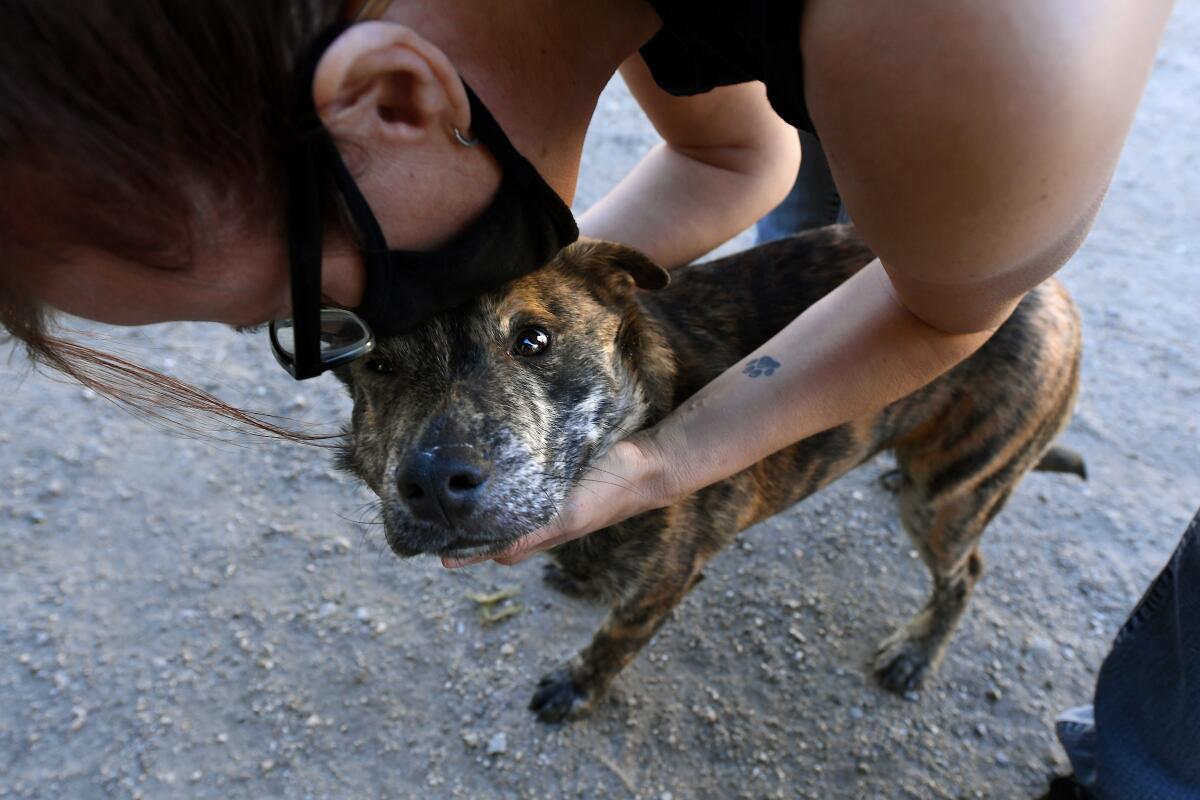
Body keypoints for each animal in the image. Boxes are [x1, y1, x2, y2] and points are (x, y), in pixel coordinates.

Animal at [333, 221, 1084, 724]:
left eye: (534, 340)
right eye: (379, 366)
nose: (435, 483)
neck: (649, 401)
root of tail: (1050, 290)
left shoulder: (667, 577)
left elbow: (615, 637)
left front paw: (577, 686)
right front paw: (577, 576)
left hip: (950, 499)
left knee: (966, 572)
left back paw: (916, 652)